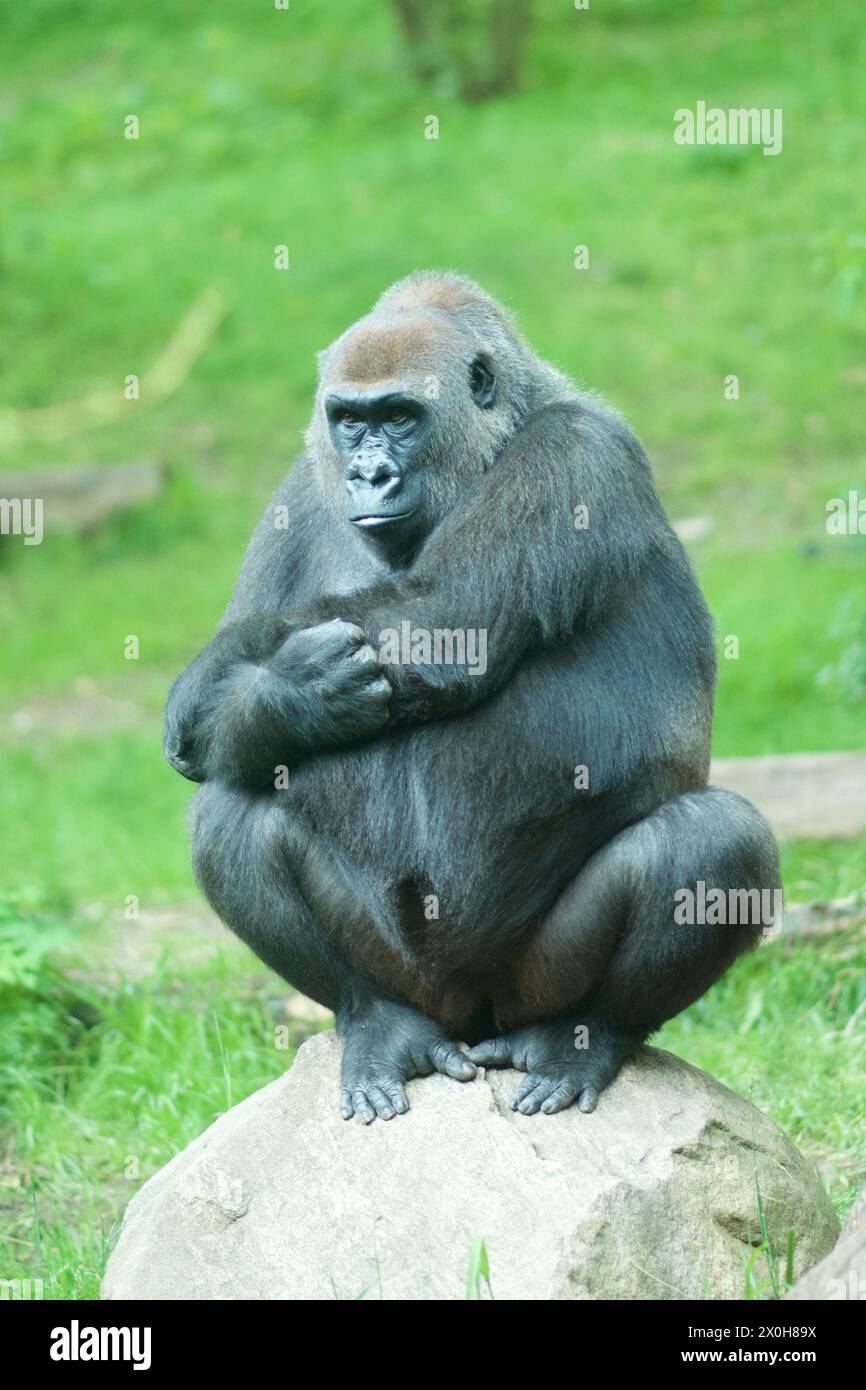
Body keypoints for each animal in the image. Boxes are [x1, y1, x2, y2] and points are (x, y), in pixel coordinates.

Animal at [164, 271, 780, 1123]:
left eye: (400, 417)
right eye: (349, 422)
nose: (368, 475)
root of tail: (471, 1020)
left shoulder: (575, 458)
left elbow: (440, 623)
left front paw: (225, 677)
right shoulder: (298, 485)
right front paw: (282, 697)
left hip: (530, 985)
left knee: (715, 843)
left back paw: (584, 1037)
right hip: (417, 987)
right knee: (232, 816)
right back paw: (378, 1022)